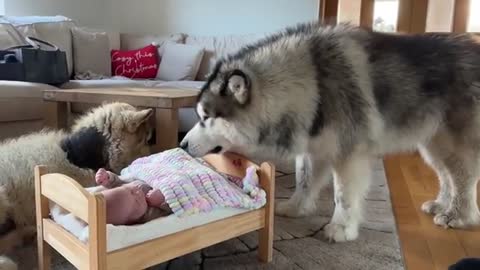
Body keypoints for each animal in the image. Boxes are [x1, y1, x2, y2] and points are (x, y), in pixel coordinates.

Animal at [179, 22, 480, 243]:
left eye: (206, 117)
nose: (181, 145)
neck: (311, 82)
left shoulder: (348, 156)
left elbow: (342, 196)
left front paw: (341, 229)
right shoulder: (313, 148)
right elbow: (304, 181)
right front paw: (296, 208)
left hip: (452, 146)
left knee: (464, 181)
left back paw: (458, 216)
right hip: (433, 146)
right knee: (447, 178)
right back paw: (441, 205)